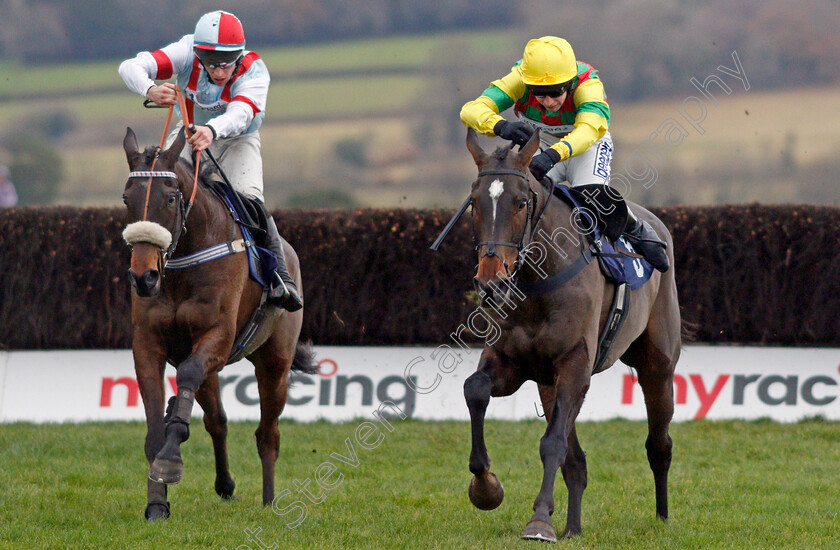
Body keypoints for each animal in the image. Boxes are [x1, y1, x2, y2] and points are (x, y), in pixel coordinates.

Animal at [119, 128, 316, 520]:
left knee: (267, 433)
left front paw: (170, 459)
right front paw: (157, 502)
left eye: (169, 198)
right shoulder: (148, 343)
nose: (144, 277)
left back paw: (270, 500)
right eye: (126, 199)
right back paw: (225, 485)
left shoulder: (219, 337)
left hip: (275, 363)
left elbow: (190, 377)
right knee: (217, 421)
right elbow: (156, 428)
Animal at [456, 128, 680, 544]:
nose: (490, 282)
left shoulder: (576, 364)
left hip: (657, 365)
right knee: (576, 462)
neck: (538, 281)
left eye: (521, 202)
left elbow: (552, 443)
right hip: (549, 382)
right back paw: (573, 527)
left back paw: (661, 517)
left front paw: (540, 521)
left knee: (659, 444)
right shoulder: (511, 362)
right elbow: (475, 390)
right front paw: (486, 488)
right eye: (474, 204)